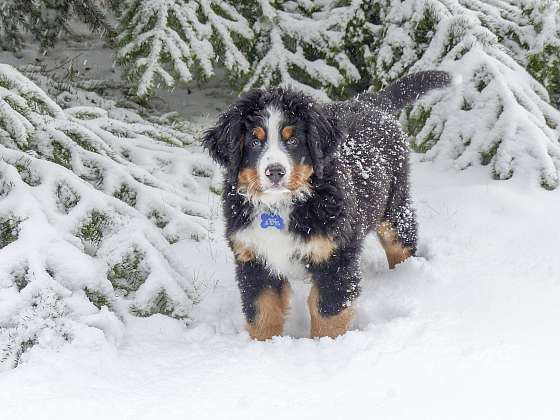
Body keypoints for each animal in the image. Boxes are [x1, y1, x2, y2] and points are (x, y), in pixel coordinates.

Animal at [201, 71, 450, 342]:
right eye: (254, 142)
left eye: (293, 140)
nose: (275, 172)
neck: (280, 206)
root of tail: (368, 101)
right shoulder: (254, 258)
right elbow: (262, 314)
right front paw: (263, 347)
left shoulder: (334, 257)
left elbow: (328, 313)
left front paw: (325, 347)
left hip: (394, 206)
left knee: (401, 243)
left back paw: (406, 277)